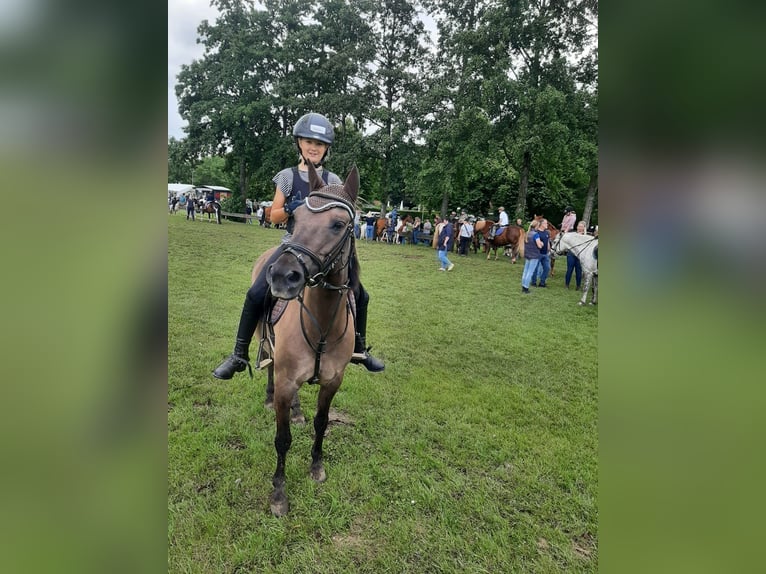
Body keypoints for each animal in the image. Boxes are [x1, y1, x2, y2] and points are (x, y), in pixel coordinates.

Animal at [252, 164, 360, 520]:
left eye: (338, 224)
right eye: (295, 218)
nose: (282, 276)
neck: (321, 326)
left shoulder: (332, 381)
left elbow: (321, 423)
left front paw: (316, 467)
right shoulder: (287, 380)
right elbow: (282, 439)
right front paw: (279, 494)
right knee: (269, 363)